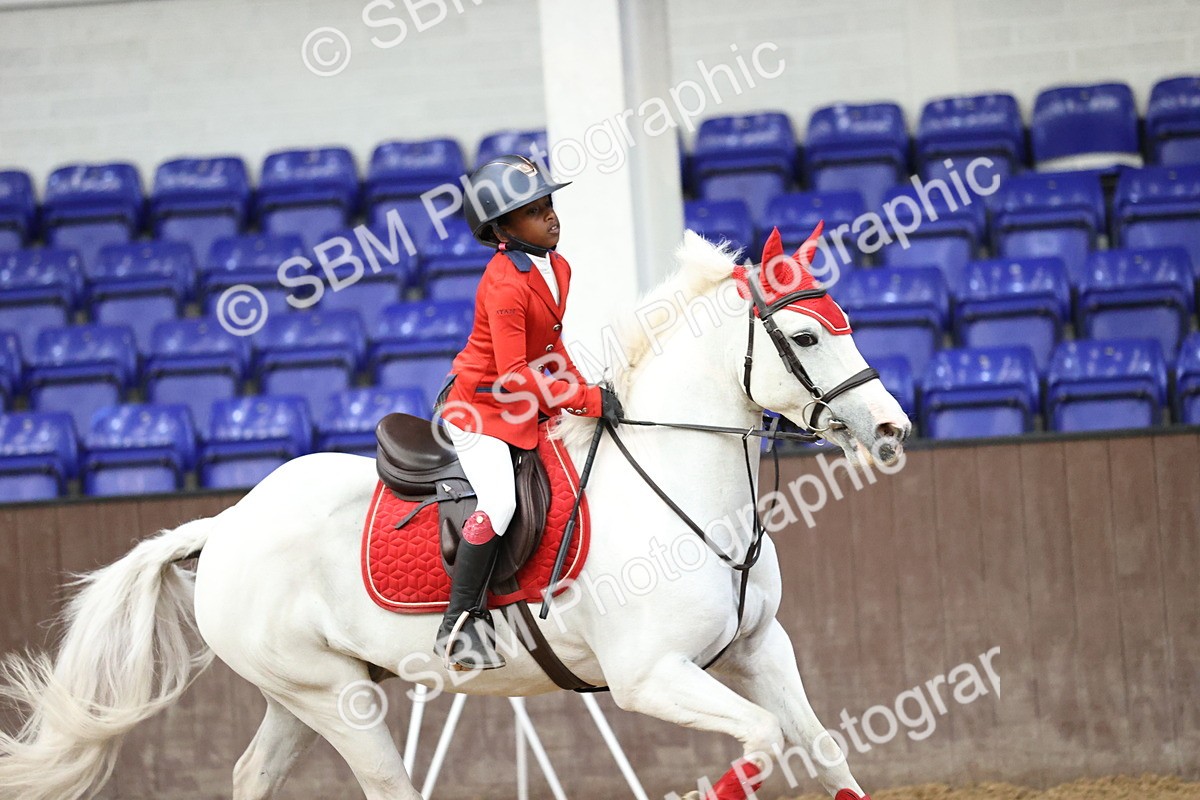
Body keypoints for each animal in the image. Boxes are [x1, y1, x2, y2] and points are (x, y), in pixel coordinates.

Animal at [0, 229, 910, 800]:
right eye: (806, 336)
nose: (893, 429)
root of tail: (224, 525)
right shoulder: (650, 677)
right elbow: (758, 743)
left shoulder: (761, 648)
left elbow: (824, 752)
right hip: (335, 698)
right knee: (386, 785)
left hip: (298, 693)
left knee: (252, 775)